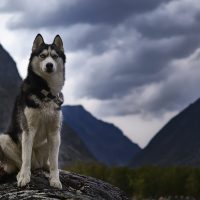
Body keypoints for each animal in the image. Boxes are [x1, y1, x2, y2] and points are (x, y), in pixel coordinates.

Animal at [0, 33, 65, 188]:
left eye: (55, 56)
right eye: (42, 56)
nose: (49, 65)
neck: (45, 93)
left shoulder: (54, 132)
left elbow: (55, 161)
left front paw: (55, 179)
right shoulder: (28, 129)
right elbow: (25, 158)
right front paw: (24, 177)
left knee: (46, 162)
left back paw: (48, 167)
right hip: (4, 138)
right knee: (24, 162)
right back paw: (19, 172)